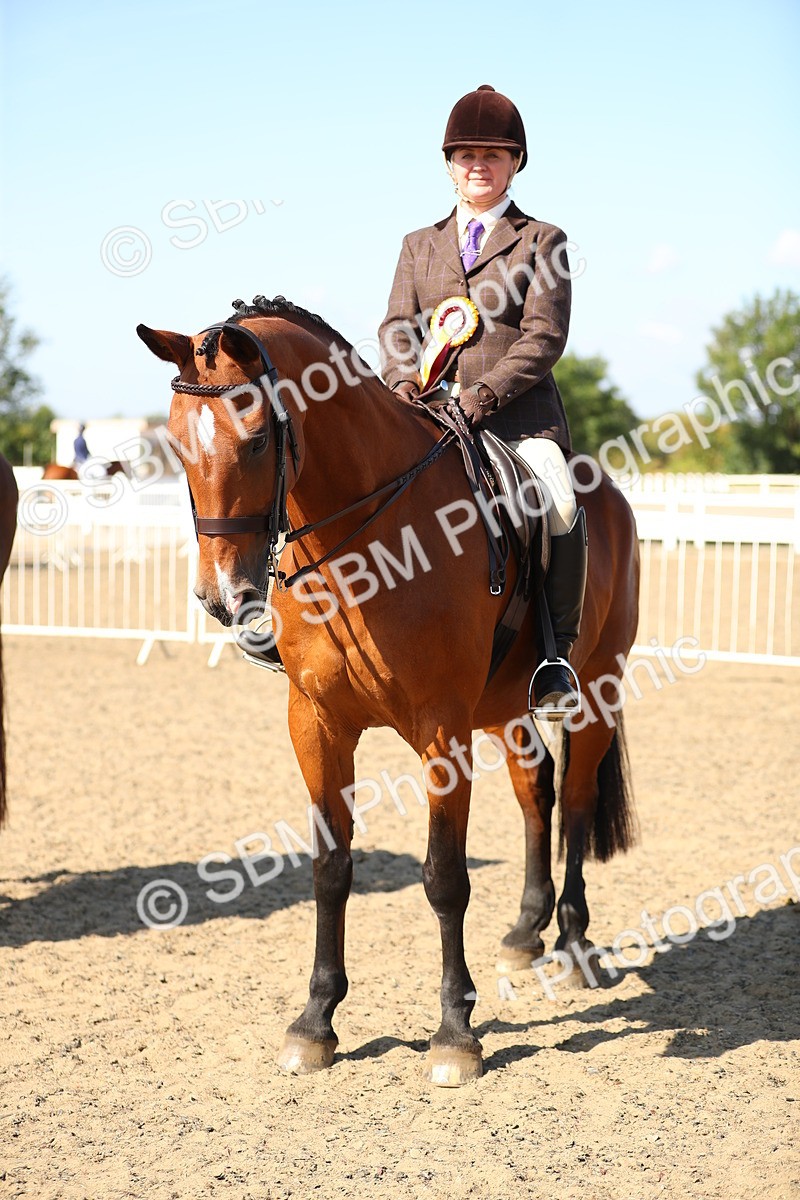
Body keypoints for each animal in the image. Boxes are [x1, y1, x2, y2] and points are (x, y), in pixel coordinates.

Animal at [137, 296, 639, 1086]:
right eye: (178, 446)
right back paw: (526, 932)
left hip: (596, 688)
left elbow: (445, 877)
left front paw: (455, 1033)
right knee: (538, 792)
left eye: (258, 441)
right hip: (506, 709)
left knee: (579, 803)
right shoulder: (316, 724)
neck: (359, 546)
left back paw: (574, 945)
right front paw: (315, 1021)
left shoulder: (441, 730)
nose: (223, 598)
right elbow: (331, 867)